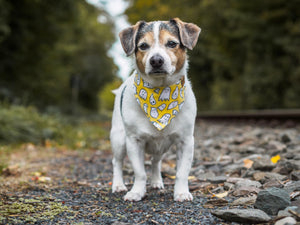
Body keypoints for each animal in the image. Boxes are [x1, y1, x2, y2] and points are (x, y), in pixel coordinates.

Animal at [110, 18, 202, 202]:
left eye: (172, 43)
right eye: (143, 46)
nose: (156, 60)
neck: (160, 93)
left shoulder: (186, 141)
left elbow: (182, 172)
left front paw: (181, 192)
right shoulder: (134, 141)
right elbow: (139, 173)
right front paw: (137, 192)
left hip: (161, 146)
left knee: (155, 161)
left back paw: (156, 181)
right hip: (119, 139)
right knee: (117, 162)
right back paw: (118, 185)